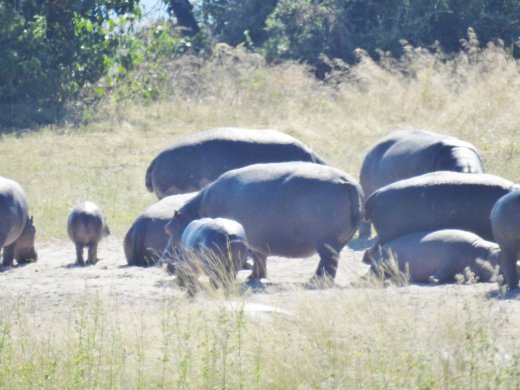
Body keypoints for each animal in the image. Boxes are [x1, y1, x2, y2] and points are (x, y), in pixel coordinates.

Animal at [160, 161, 364, 284]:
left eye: (168, 229)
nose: (163, 260)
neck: (197, 212)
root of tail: (349, 183)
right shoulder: (257, 240)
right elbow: (260, 257)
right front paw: (254, 277)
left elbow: (258, 256)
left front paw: (252, 278)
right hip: (337, 239)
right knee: (330, 261)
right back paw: (315, 280)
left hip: (324, 239)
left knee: (328, 262)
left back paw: (316, 282)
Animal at [364, 229, 502, 284]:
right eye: (500, 254)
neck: (483, 252)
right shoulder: (450, 257)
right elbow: (442, 271)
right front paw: (432, 280)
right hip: (380, 265)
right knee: (372, 274)